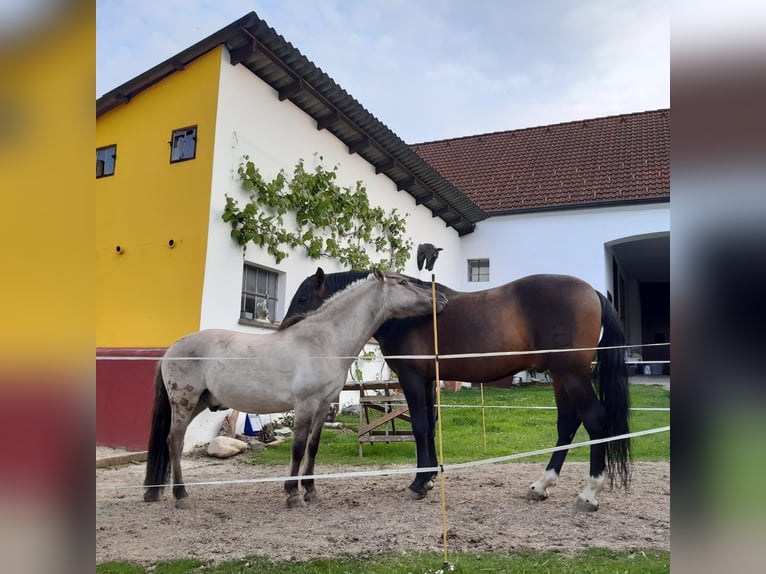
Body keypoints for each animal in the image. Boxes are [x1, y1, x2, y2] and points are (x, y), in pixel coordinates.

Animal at [143, 268, 448, 509]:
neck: (323, 341)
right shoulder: (305, 405)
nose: (441, 300)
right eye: (403, 283)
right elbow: (298, 448)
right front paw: (293, 494)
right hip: (184, 402)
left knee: (172, 442)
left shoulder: (323, 406)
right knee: (175, 441)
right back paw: (181, 496)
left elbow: (312, 447)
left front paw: (311, 491)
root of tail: (172, 348)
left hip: (200, 403)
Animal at [284, 268, 631, 511]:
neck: (403, 315)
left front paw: (418, 483)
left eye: (302, 298)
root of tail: (592, 292)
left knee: (595, 419)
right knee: (568, 423)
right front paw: (429, 478)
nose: (286, 329)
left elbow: (420, 427)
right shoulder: (427, 381)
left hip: (570, 373)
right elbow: (430, 426)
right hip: (560, 375)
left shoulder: (412, 378)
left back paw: (589, 493)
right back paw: (541, 485)